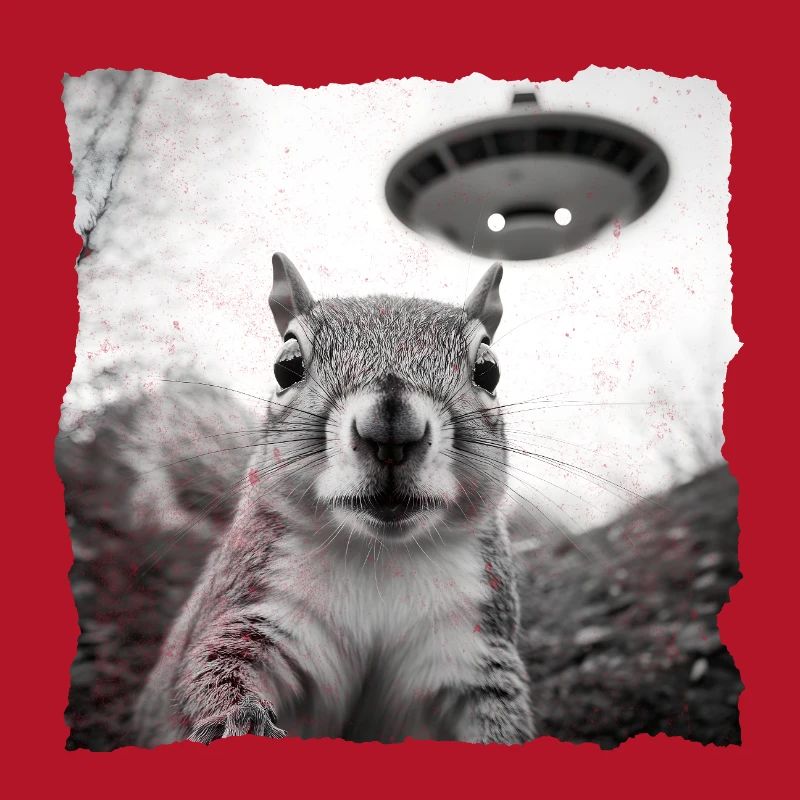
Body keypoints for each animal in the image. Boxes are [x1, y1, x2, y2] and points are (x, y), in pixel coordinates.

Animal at [133, 252, 535, 746]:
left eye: (488, 370)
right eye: (286, 366)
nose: (391, 428)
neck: (382, 555)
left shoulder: (470, 646)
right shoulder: (259, 607)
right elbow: (216, 667)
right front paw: (238, 721)